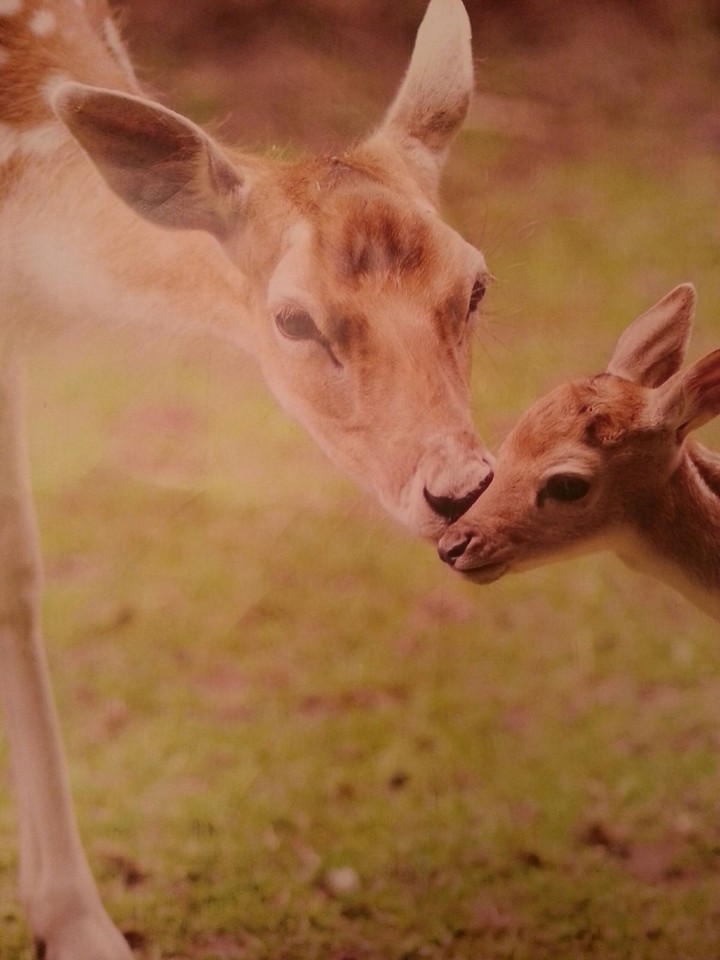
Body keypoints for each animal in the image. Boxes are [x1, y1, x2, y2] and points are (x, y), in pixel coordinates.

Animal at [0, 0, 496, 956]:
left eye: (477, 287)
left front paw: (70, 918)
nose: (458, 485)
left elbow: (18, 575)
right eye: (294, 319)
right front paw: (77, 920)